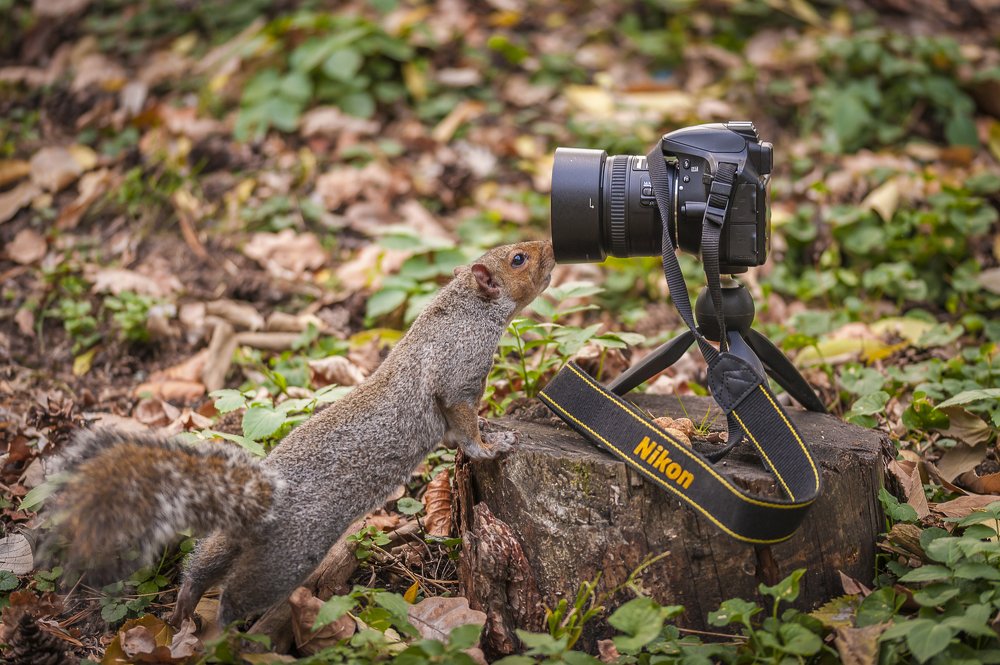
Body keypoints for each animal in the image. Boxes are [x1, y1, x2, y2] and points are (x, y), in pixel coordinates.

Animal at [48, 240, 554, 627]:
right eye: (518, 259)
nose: (550, 247)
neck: (467, 310)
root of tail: (260, 497)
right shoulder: (457, 379)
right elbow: (465, 430)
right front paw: (491, 446)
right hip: (289, 554)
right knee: (234, 598)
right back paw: (221, 638)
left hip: (239, 540)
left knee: (203, 566)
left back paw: (183, 609)